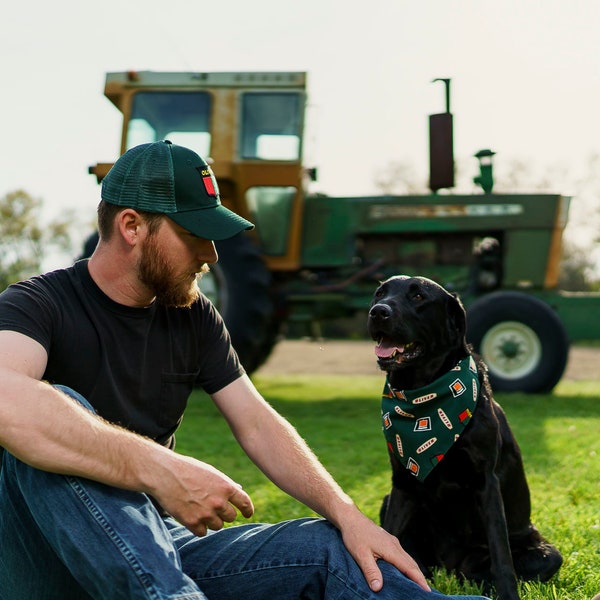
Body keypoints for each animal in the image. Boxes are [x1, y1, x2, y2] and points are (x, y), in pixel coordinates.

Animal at [366, 276, 564, 600]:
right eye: (380, 293)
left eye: (418, 296)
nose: (378, 312)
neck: (425, 396)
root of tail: (450, 565)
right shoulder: (402, 483)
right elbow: (388, 538)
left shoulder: (487, 484)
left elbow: (501, 556)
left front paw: (507, 594)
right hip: (389, 501)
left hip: (543, 552)